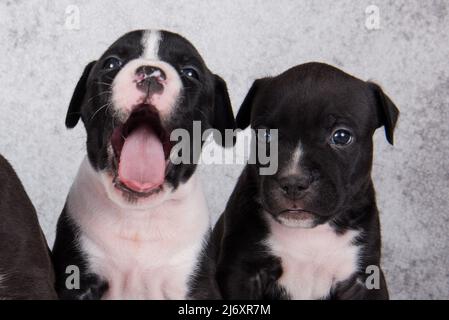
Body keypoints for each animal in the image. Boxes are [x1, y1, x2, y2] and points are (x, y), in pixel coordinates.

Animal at [52, 30, 234, 300]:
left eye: (191, 72)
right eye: (111, 63)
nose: (150, 73)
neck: (139, 215)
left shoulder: (196, 285)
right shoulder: (76, 281)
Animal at [212, 63, 398, 300]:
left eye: (341, 136)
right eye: (265, 135)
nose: (293, 181)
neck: (308, 234)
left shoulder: (363, 280)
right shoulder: (242, 274)